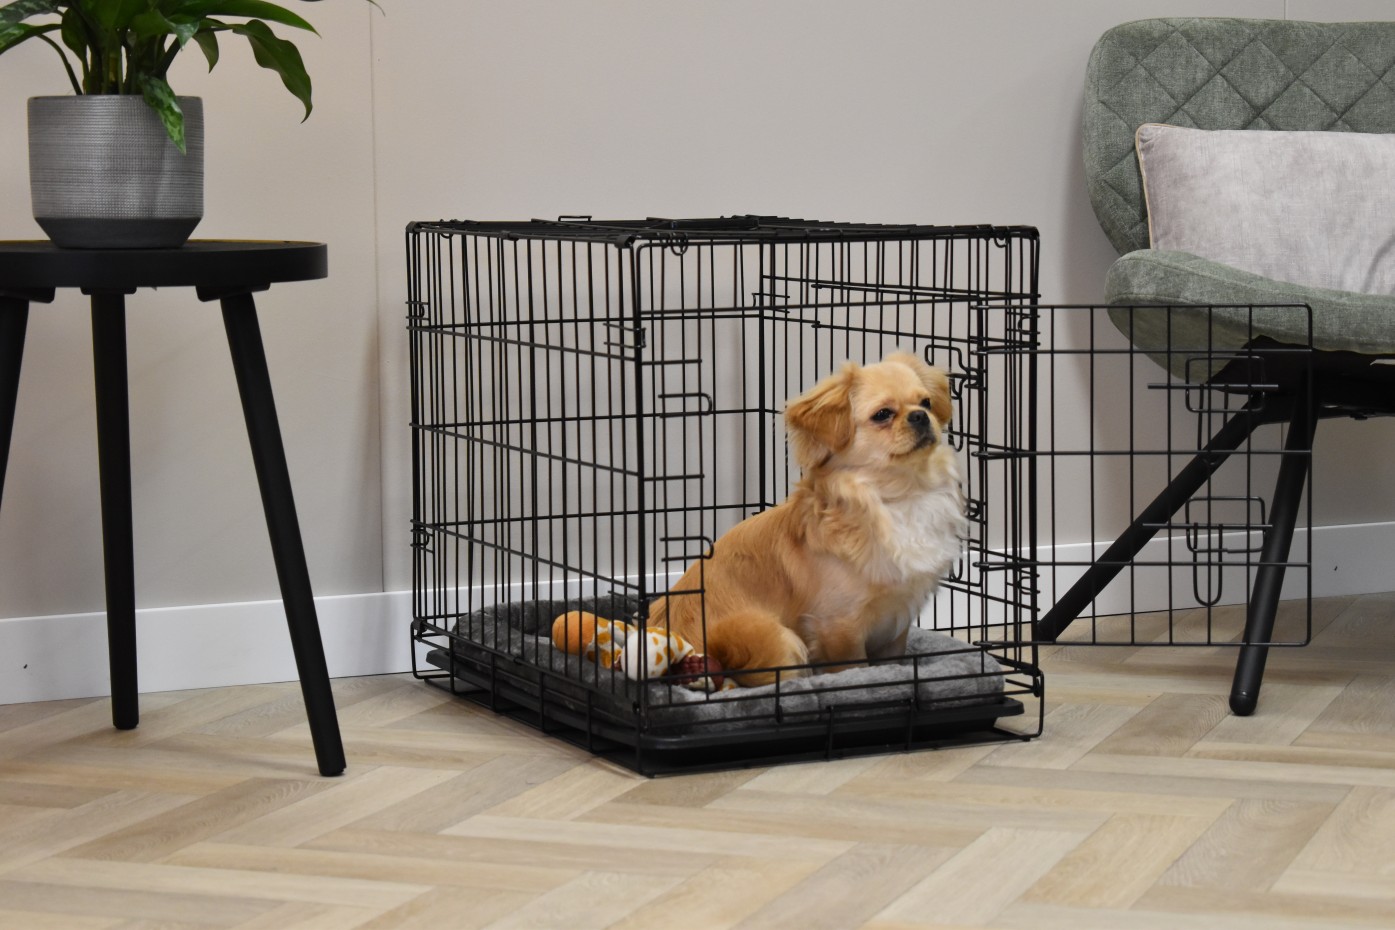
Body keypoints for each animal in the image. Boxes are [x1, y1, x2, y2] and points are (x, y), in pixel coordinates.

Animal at [649, 352, 966, 686]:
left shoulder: (898, 618)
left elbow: (894, 662)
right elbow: (854, 669)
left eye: (926, 402)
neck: (899, 493)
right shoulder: (840, 626)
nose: (919, 416)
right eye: (883, 414)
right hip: (775, 637)